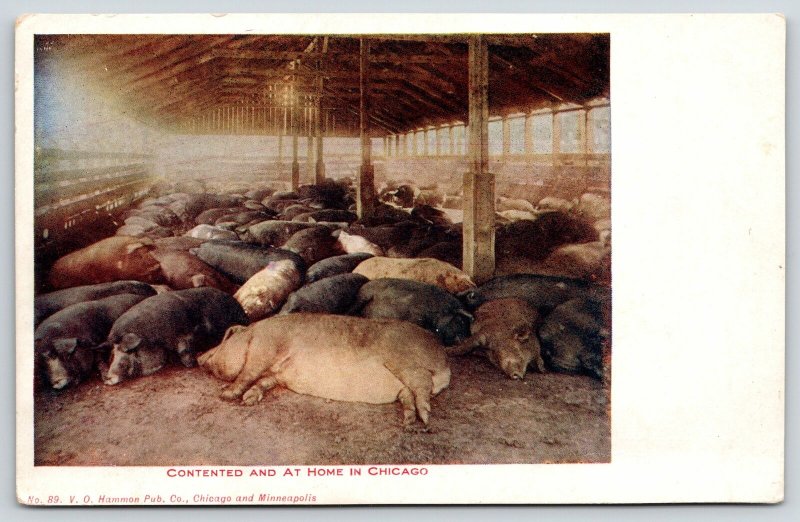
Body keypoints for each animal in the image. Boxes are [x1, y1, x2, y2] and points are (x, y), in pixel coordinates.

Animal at [101, 284, 248, 382]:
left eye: (122, 361)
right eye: (112, 357)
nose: (108, 378)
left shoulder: (185, 335)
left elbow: (184, 351)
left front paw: (191, 364)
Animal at [198, 312, 454, 426]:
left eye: (224, 338)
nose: (198, 358)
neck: (254, 334)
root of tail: (442, 355)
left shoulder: (266, 347)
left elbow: (248, 373)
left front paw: (226, 395)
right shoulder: (278, 375)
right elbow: (262, 381)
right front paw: (249, 400)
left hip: (404, 361)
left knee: (422, 384)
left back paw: (425, 420)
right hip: (402, 380)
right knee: (408, 394)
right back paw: (409, 421)